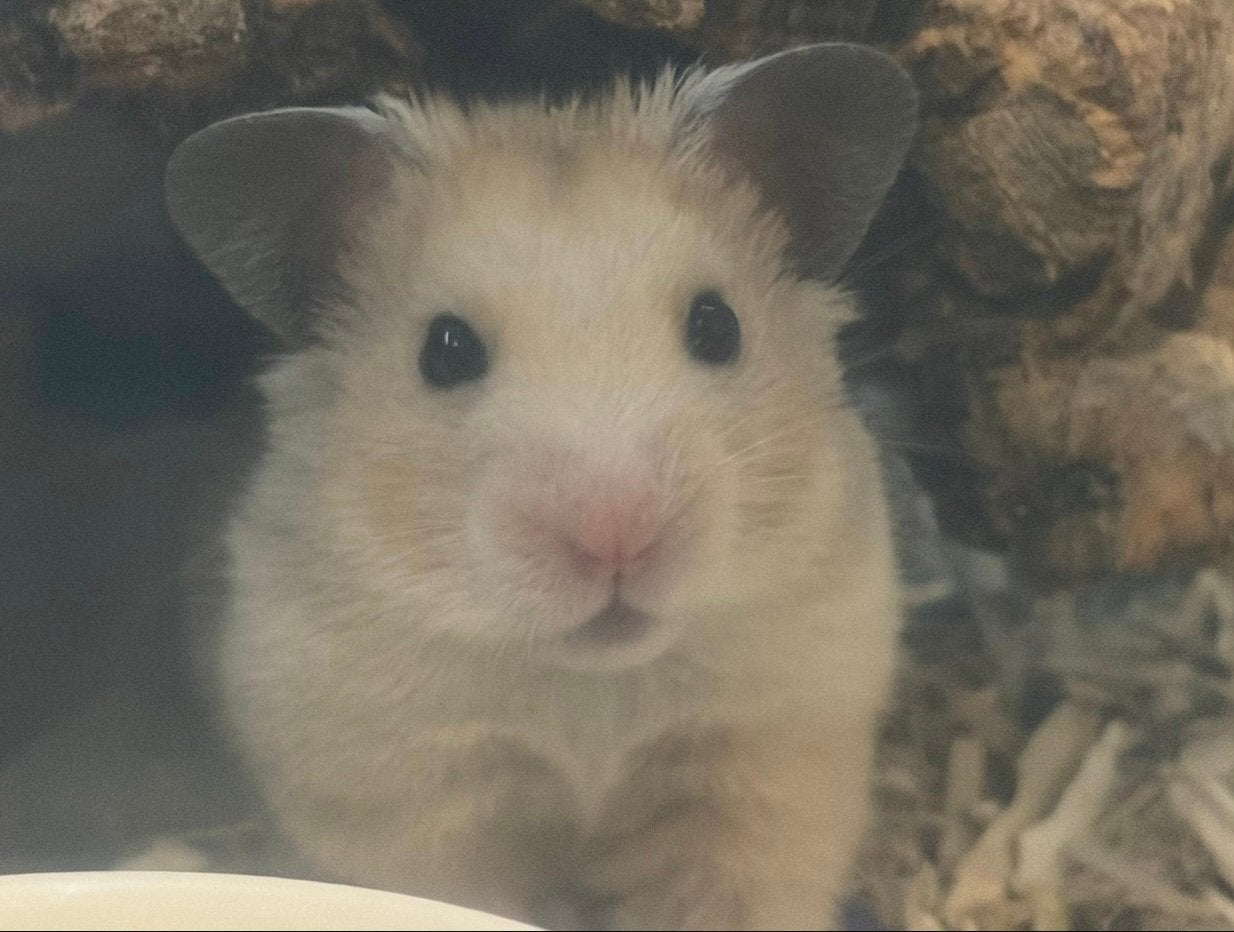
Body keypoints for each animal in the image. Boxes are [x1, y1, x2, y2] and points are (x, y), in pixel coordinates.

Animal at [165, 43, 917, 931]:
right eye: (445, 350)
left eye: (717, 325)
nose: (615, 537)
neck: (590, 686)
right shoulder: (401, 798)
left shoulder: (764, 758)